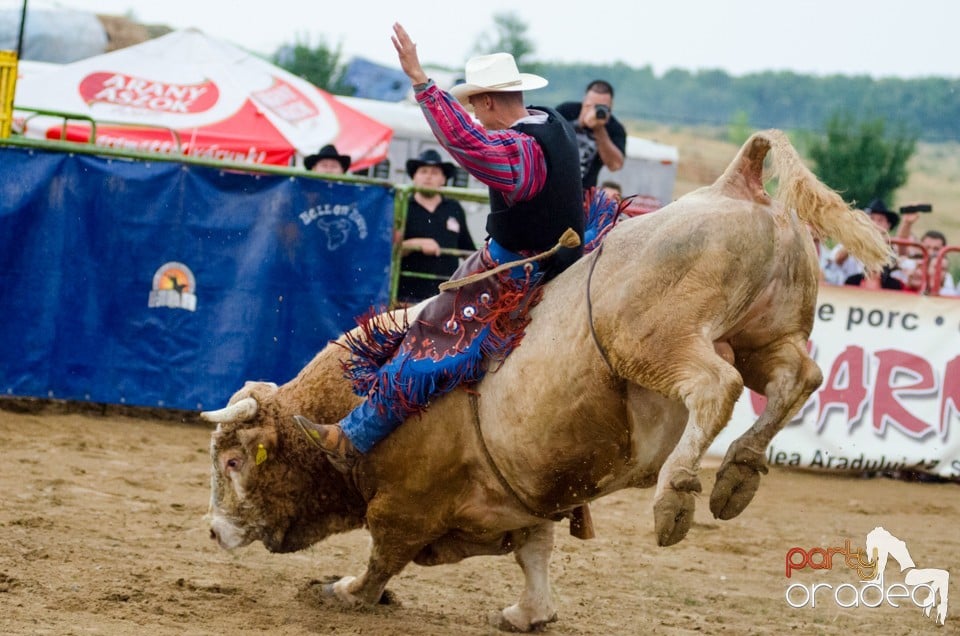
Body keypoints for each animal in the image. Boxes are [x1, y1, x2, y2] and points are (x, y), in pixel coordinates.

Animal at [201, 130, 892, 632]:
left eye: (234, 462)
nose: (211, 530)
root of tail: (737, 184)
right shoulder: (525, 503)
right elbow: (535, 553)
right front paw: (528, 612)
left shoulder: (404, 506)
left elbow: (382, 558)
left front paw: (343, 590)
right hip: (763, 337)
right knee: (798, 377)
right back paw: (738, 477)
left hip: (657, 342)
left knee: (715, 385)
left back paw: (677, 495)